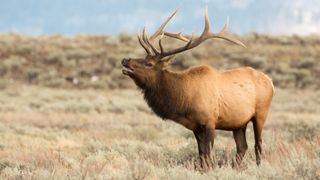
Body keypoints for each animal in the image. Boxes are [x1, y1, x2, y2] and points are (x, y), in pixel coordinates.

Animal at [121, 7, 274, 170]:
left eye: (149, 64)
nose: (125, 60)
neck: (184, 100)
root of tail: (270, 81)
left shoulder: (210, 122)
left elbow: (208, 155)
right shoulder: (195, 126)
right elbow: (201, 155)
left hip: (261, 113)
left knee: (258, 145)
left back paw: (258, 167)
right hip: (239, 123)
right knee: (242, 146)